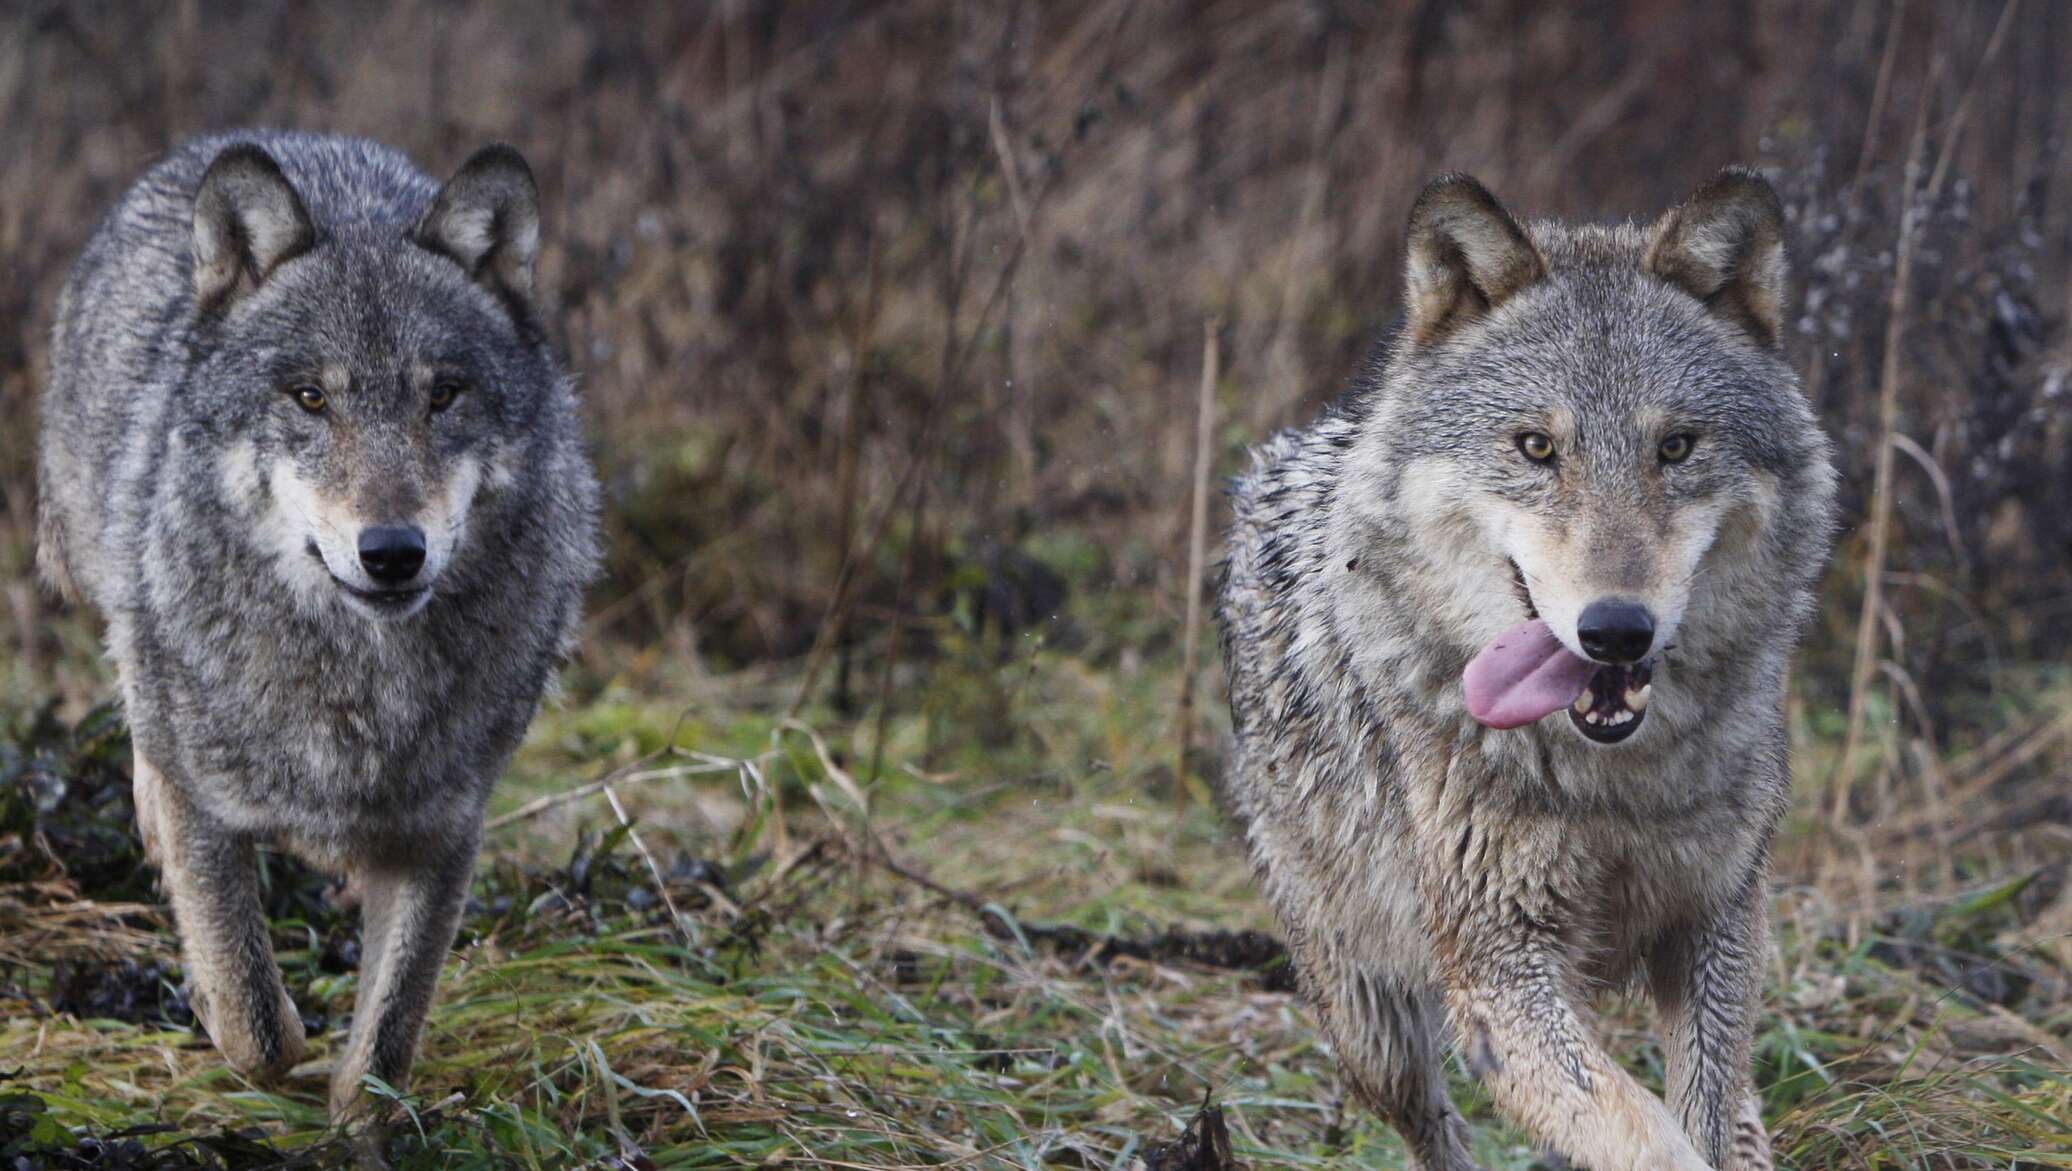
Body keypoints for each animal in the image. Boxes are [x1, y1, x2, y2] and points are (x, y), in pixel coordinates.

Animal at [36, 130, 600, 1119]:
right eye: (310, 397)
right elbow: (258, 1023)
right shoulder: (205, 808)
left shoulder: (443, 832)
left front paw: (357, 1123)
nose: (393, 551)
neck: (355, 688)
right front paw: (239, 1023)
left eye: (443, 396)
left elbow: (385, 1043)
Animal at [1218, 166, 1839, 1168]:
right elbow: (1645, 1131)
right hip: (1370, 1022)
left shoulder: (1716, 923)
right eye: (1537, 448)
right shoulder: (1498, 971)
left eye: (1676, 447)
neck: (1612, 784)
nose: (1616, 629)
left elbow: (1700, 1112)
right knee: (1432, 1127)